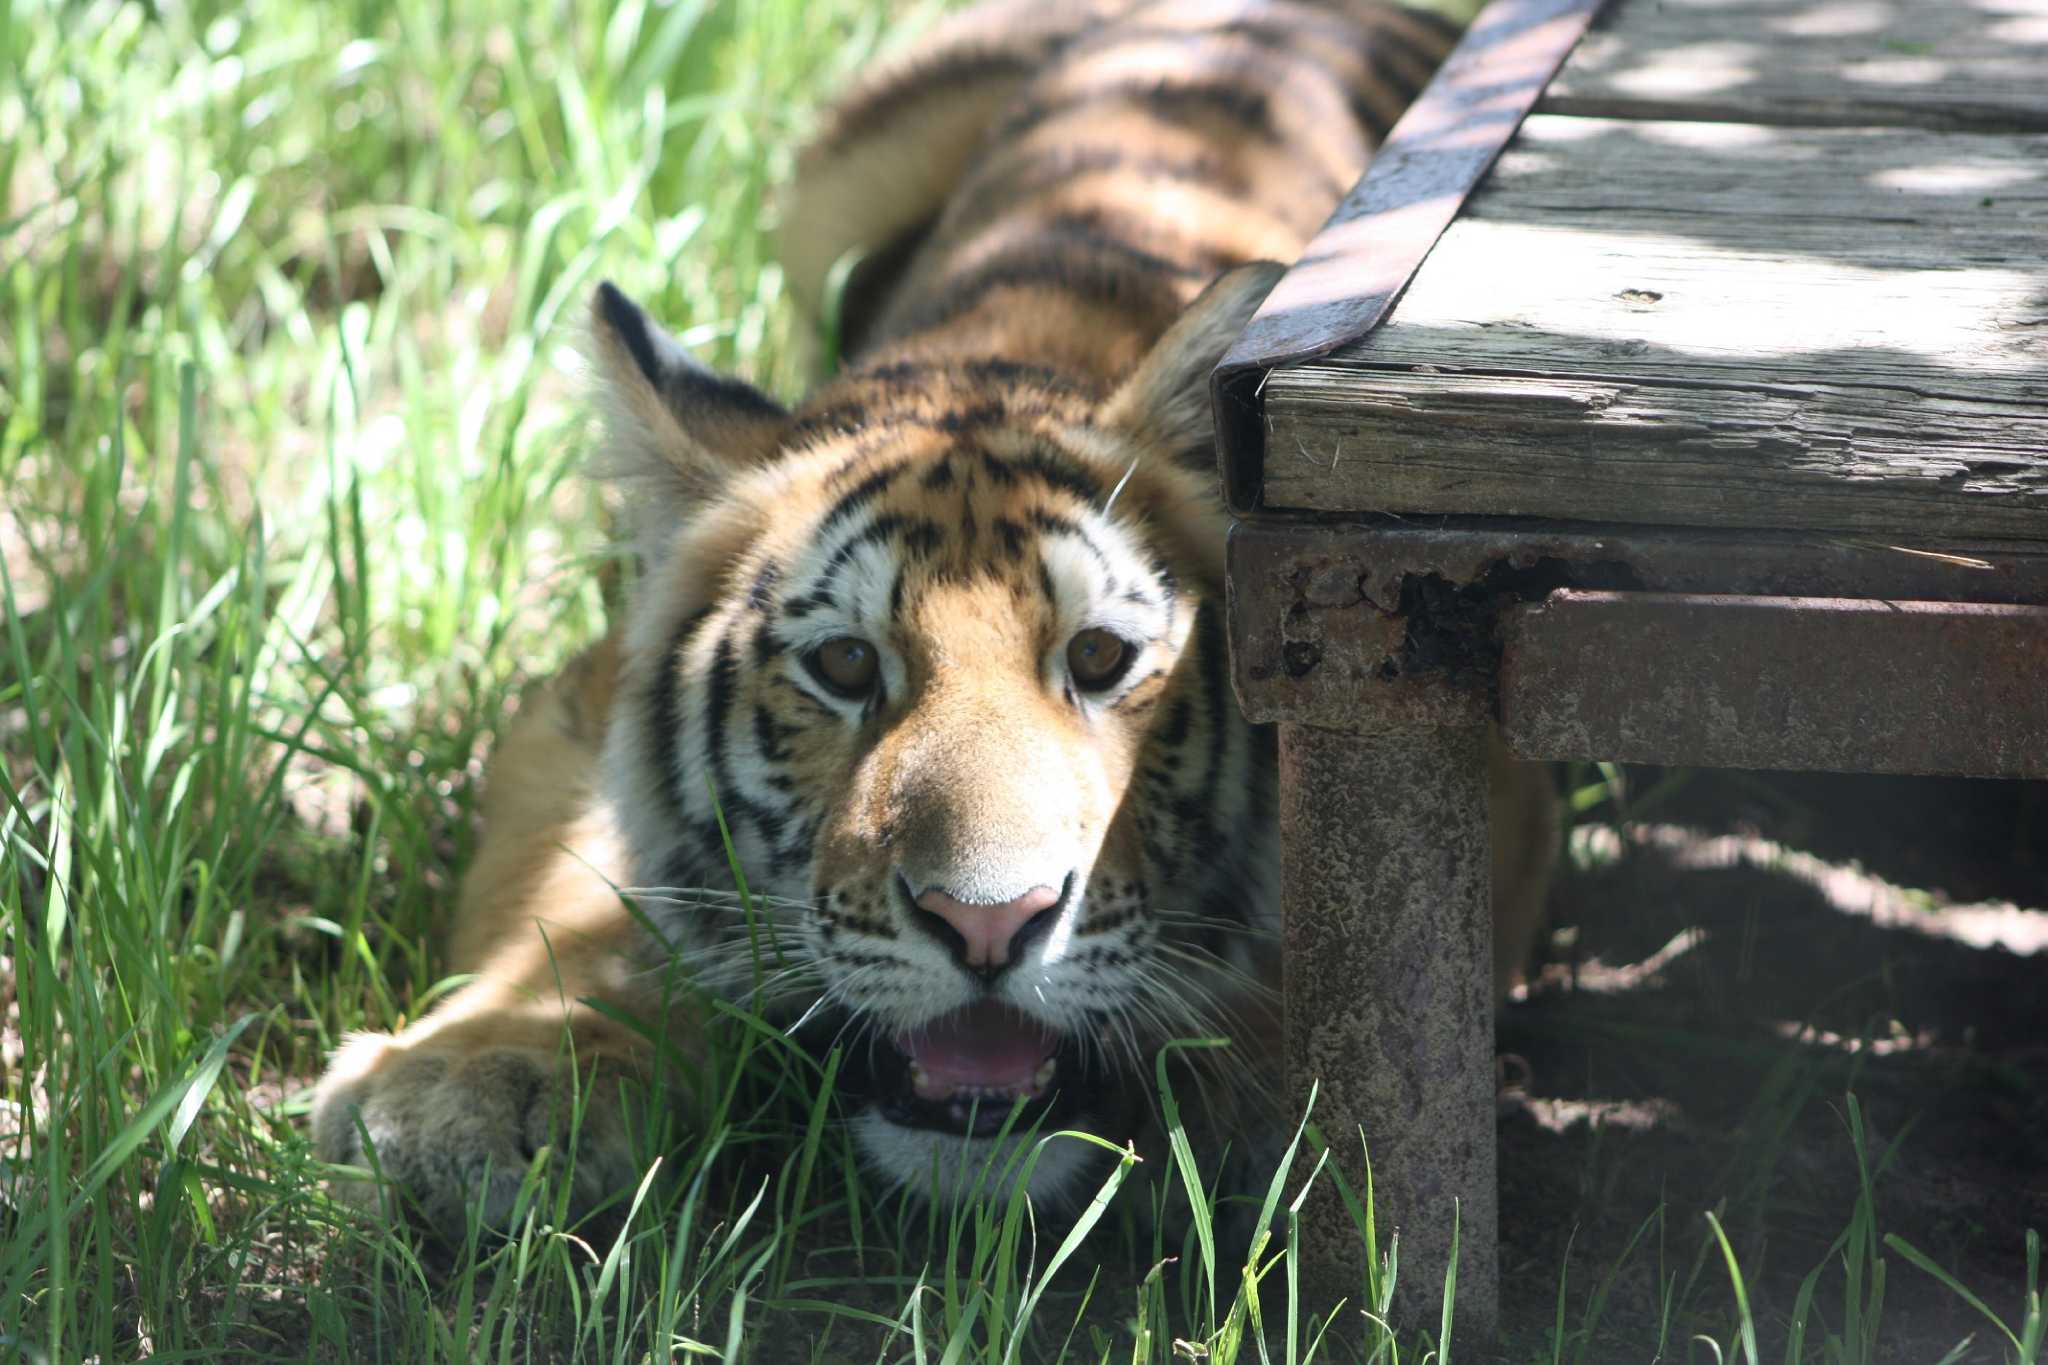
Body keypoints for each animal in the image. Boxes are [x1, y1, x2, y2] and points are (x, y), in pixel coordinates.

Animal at [309, 0, 1558, 1235]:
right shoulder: (573, 707)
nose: (990, 926)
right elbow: (564, 893)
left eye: (1098, 658)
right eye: (845, 666)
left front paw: (1274, 1118)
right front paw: (487, 1076)